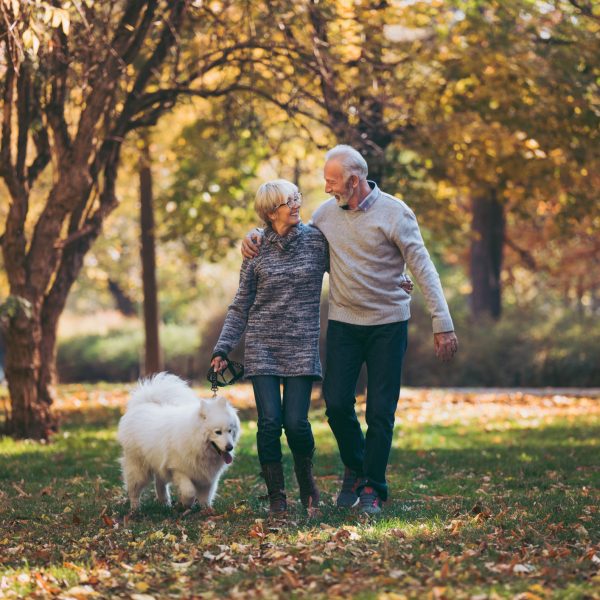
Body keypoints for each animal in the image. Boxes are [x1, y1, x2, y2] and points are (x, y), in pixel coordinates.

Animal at [116, 372, 240, 508]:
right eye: (218, 432)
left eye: (230, 430)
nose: (230, 447)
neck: (195, 442)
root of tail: (143, 404)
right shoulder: (178, 469)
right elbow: (189, 491)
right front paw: (186, 504)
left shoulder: (207, 478)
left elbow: (205, 498)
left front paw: (207, 511)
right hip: (138, 468)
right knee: (134, 490)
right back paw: (135, 509)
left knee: (159, 484)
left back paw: (165, 504)